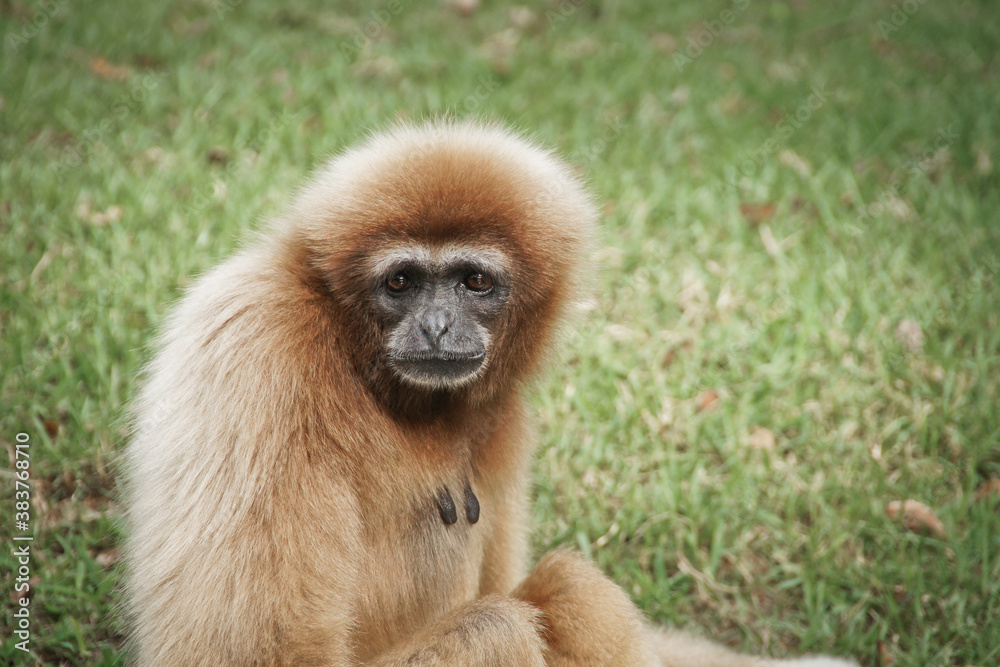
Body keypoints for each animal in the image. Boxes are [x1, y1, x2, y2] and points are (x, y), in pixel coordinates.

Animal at [122, 120, 857, 667]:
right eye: (401, 282)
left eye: (475, 281)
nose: (437, 325)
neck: (358, 362)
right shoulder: (256, 355)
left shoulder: (504, 420)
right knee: (502, 624)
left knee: (569, 592)